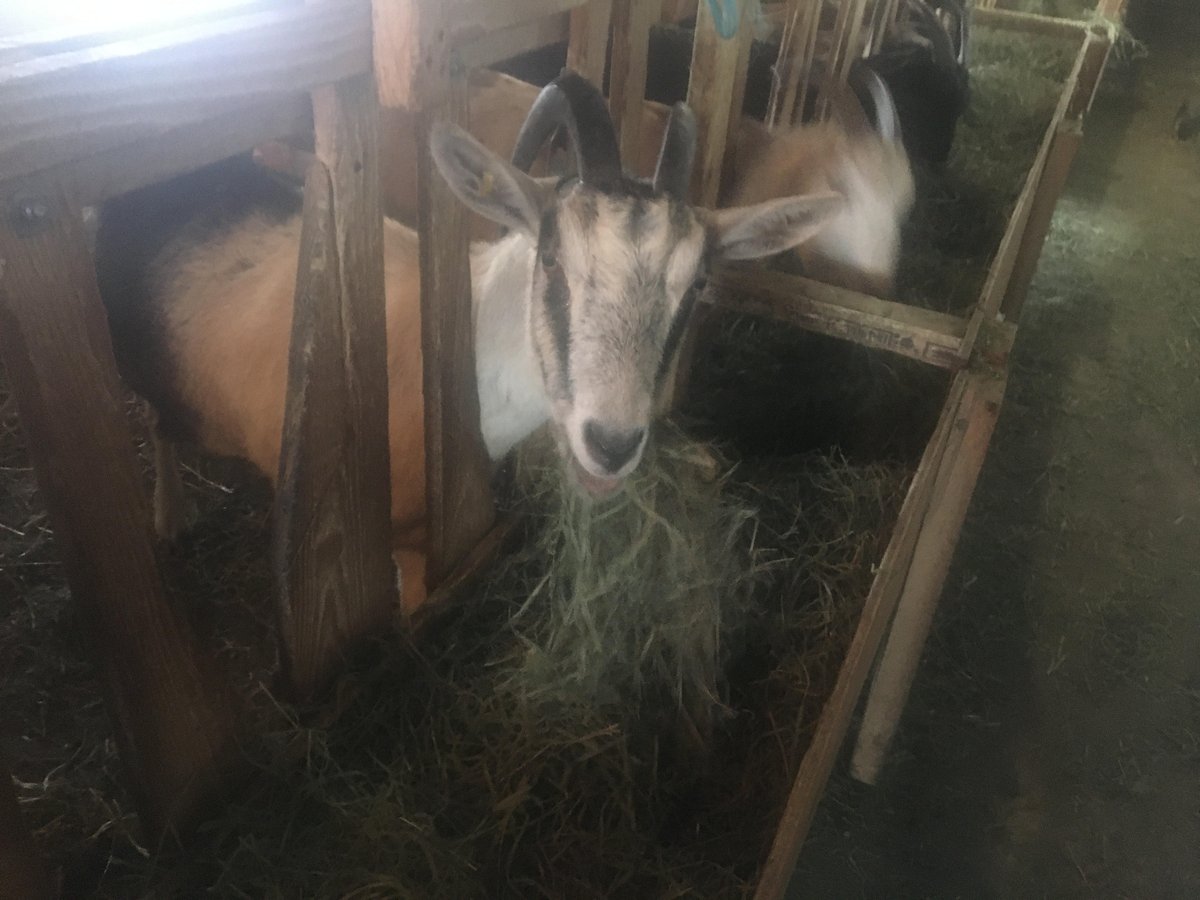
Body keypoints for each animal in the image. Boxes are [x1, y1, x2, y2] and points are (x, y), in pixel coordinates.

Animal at [97, 71, 843, 612]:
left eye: (696, 286)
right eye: (553, 259)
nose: (611, 444)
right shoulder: (402, 551)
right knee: (158, 423)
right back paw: (170, 517)